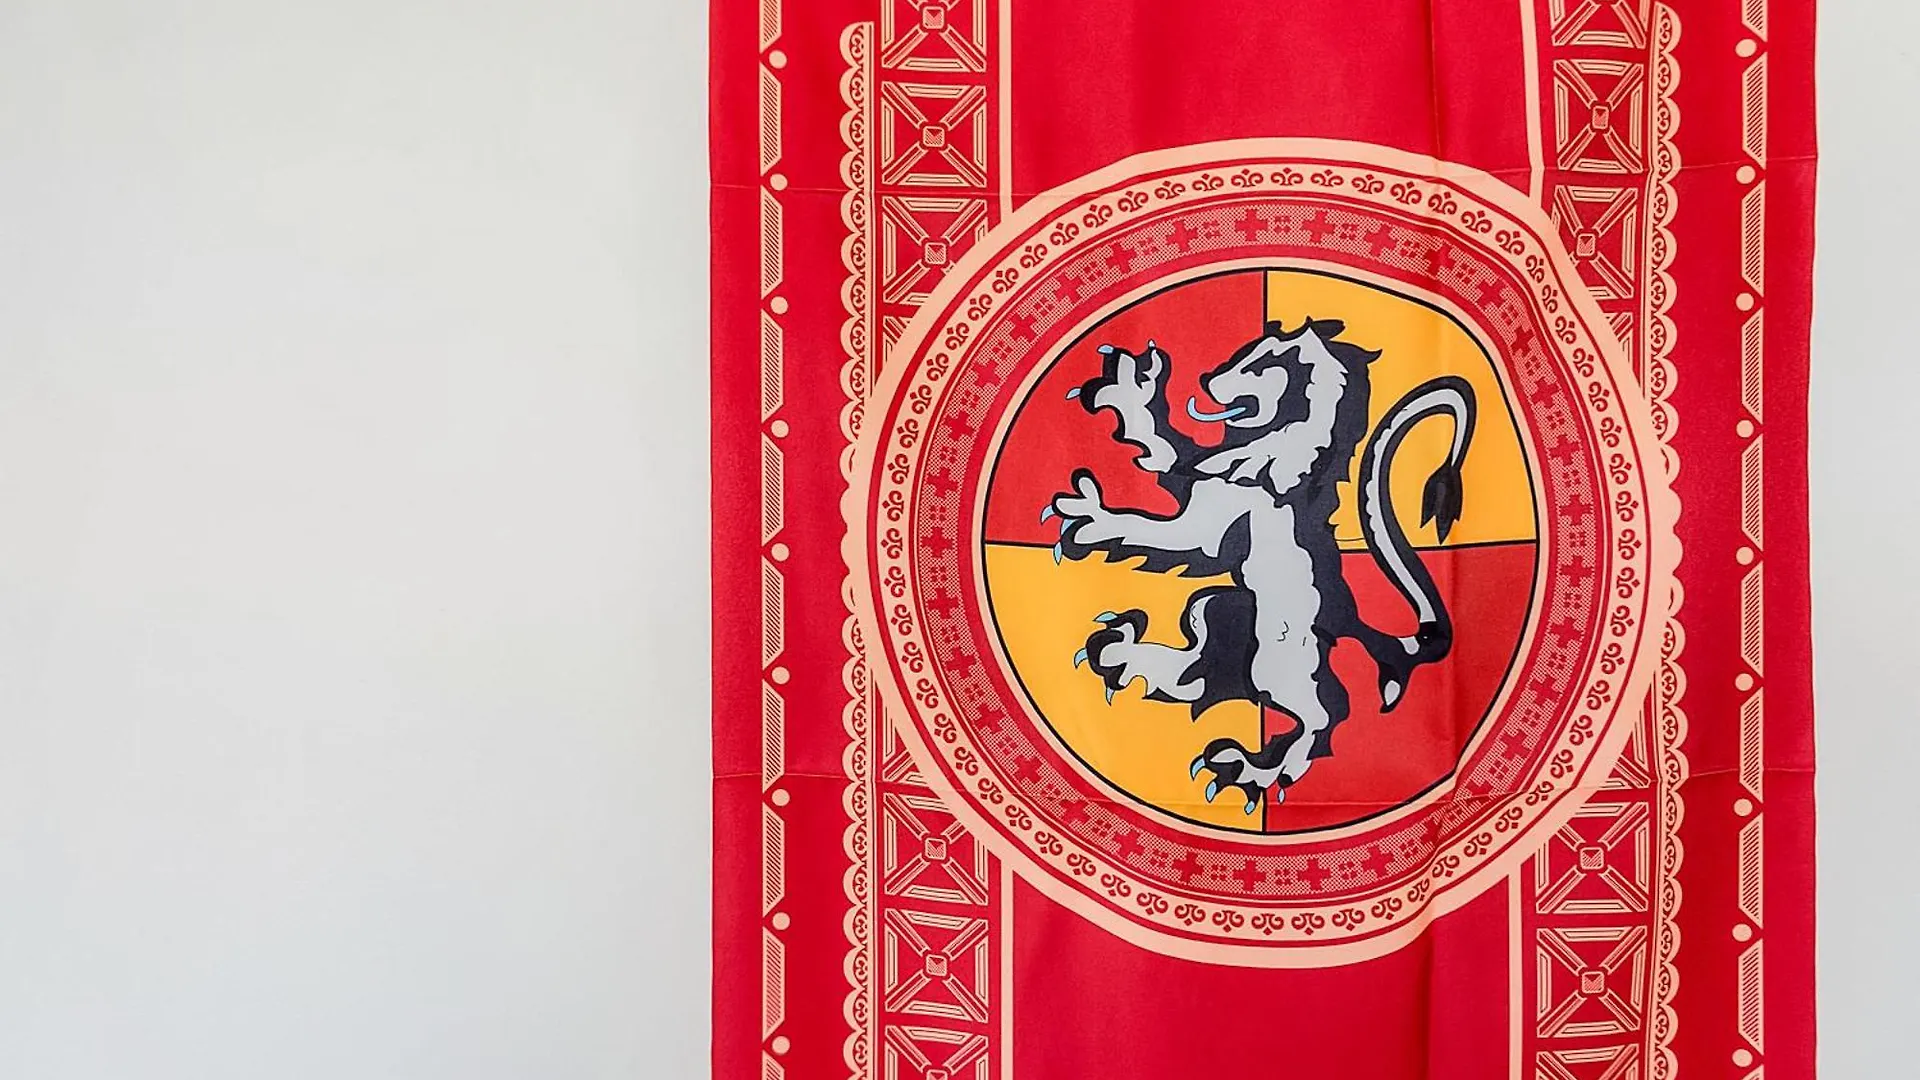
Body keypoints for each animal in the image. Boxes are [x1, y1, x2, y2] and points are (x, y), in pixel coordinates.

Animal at [1042, 318, 1477, 814]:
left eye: (1262, 363)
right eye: (1244, 353)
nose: (1207, 377)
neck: (1273, 450)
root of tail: (1354, 623)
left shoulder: (1208, 527)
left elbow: (1154, 529)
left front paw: (1091, 518)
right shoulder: (1196, 477)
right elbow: (1164, 447)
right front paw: (1131, 388)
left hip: (1279, 656)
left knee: (1323, 712)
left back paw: (1254, 770)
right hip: (1223, 607)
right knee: (1202, 670)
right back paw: (1122, 655)